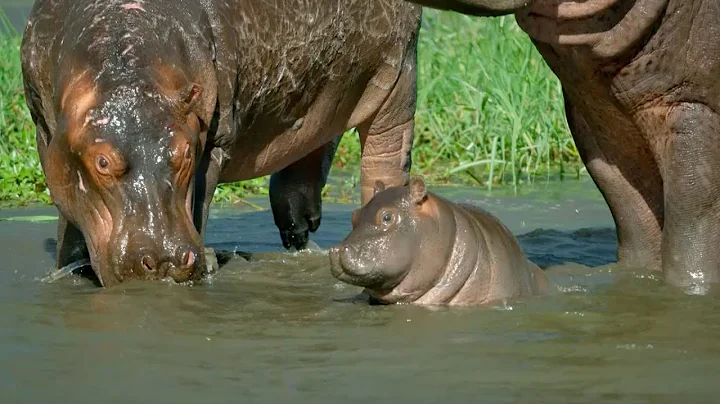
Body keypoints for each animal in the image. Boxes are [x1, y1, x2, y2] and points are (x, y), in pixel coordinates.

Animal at [22, 0, 422, 286]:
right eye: (102, 162)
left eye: (185, 152)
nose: (165, 259)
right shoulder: (47, 132)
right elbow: (68, 214)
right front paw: (70, 265)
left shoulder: (213, 138)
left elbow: (198, 203)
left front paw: (209, 265)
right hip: (326, 91)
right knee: (311, 151)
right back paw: (302, 230)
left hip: (398, 76)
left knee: (386, 157)